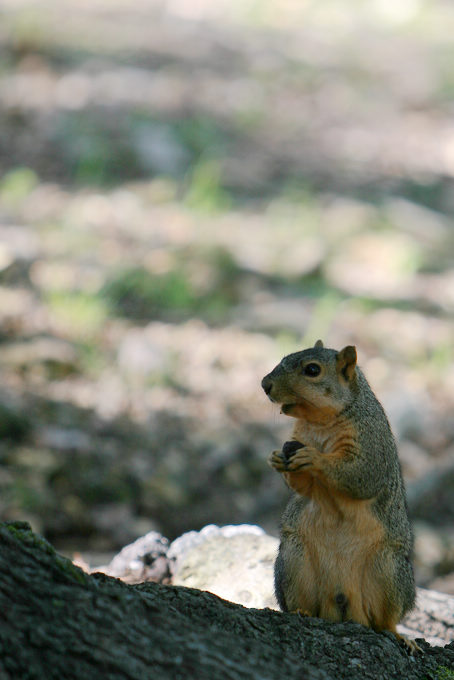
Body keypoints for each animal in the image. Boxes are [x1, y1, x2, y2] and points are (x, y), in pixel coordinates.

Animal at [260, 340, 420, 652]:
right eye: (285, 357)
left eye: (312, 370)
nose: (265, 384)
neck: (320, 422)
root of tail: (343, 606)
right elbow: (302, 487)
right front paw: (276, 458)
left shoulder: (371, 442)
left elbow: (361, 476)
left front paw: (315, 458)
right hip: (294, 559)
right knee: (303, 602)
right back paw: (302, 611)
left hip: (388, 569)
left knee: (384, 620)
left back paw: (398, 635)